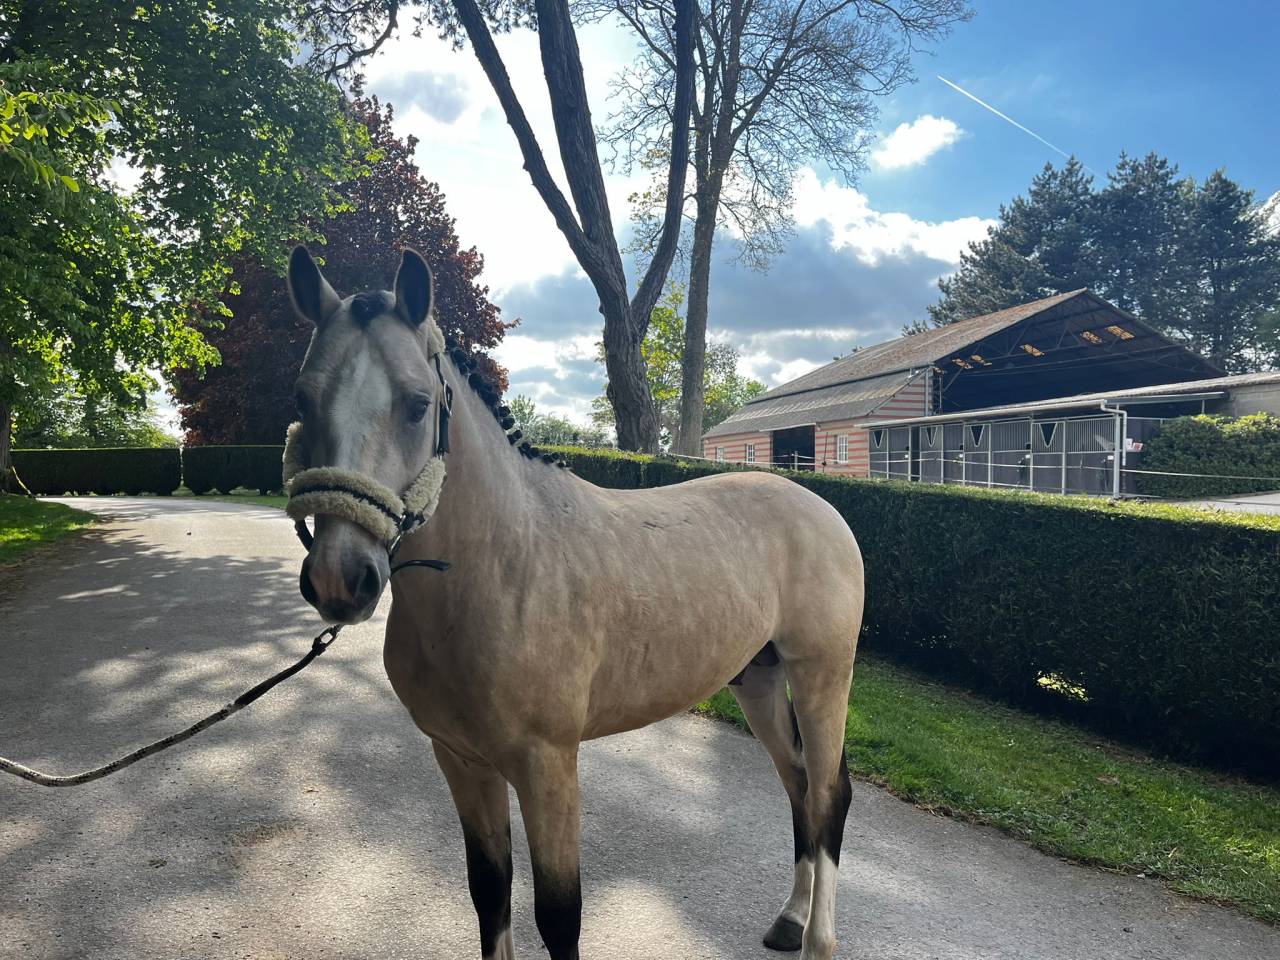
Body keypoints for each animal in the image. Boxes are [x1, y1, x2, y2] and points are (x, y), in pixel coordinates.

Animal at [283, 245, 865, 960]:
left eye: (418, 404)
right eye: (303, 399)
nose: (340, 579)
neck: (501, 566)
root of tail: (821, 507)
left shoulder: (548, 765)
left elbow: (559, 915)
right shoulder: (461, 759)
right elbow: (489, 891)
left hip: (821, 677)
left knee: (829, 795)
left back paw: (817, 939)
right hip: (756, 680)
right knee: (799, 784)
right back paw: (788, 919)